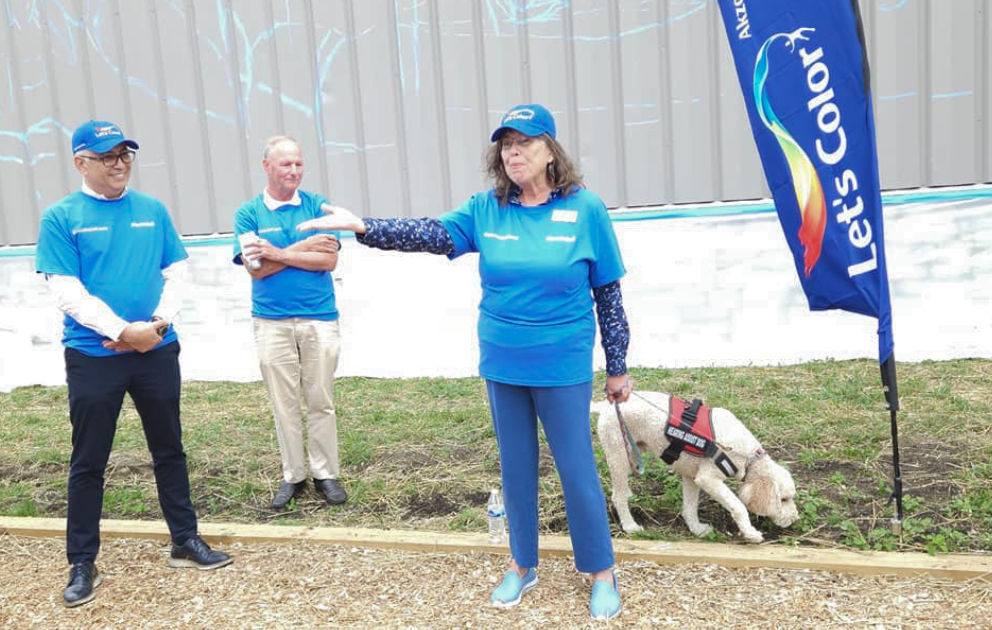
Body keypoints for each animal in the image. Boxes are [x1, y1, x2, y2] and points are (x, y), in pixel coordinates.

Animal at [594, 391, 798, 543]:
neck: (747, 455)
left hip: (631, 455)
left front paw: (696, 529)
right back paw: (630, 526)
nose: (795, 519)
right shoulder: (708, 478)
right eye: (783, 499)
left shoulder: (691, 476)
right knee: (617, 496)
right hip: (618, 454)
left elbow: (690, 507)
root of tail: (606, 406)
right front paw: (751, 533)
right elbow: (738, 506)